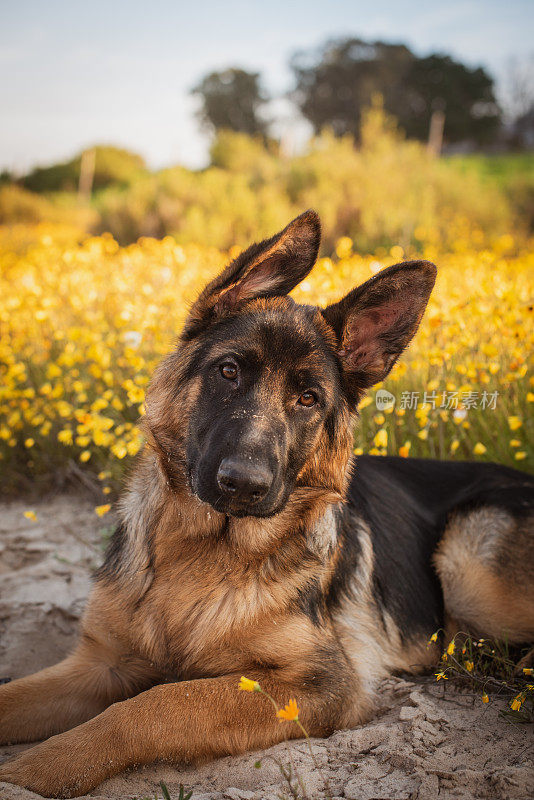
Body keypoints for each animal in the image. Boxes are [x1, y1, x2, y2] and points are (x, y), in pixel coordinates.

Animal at [1, 211, 534, 792]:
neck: (204, 554)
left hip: (469, 565)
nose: (244, 484)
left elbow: (154, 705)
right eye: (228, 370)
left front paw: (33, 770)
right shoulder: (102, 664)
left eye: (308, 399)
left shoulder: (317, 685)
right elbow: (15, 696)